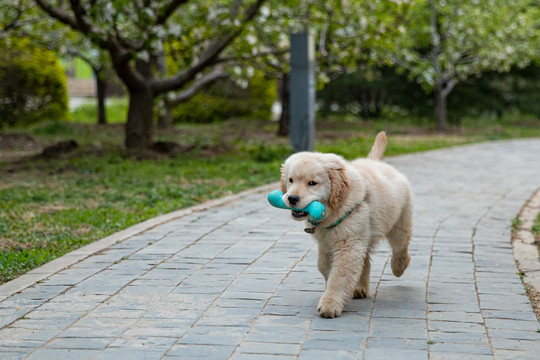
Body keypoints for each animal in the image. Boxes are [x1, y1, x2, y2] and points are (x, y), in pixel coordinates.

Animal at [280, 132, 412, 318]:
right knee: (366, 260)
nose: (292, 198)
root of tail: (376, 163)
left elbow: (339, 276)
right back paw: (360, 287)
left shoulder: (348, 244)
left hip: (399, 221)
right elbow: (324, 267)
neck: (332, 210)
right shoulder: (327, 243)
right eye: (291, 180)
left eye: (312, 183)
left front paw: (330, 303)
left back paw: (399, 267)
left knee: (400, 247)